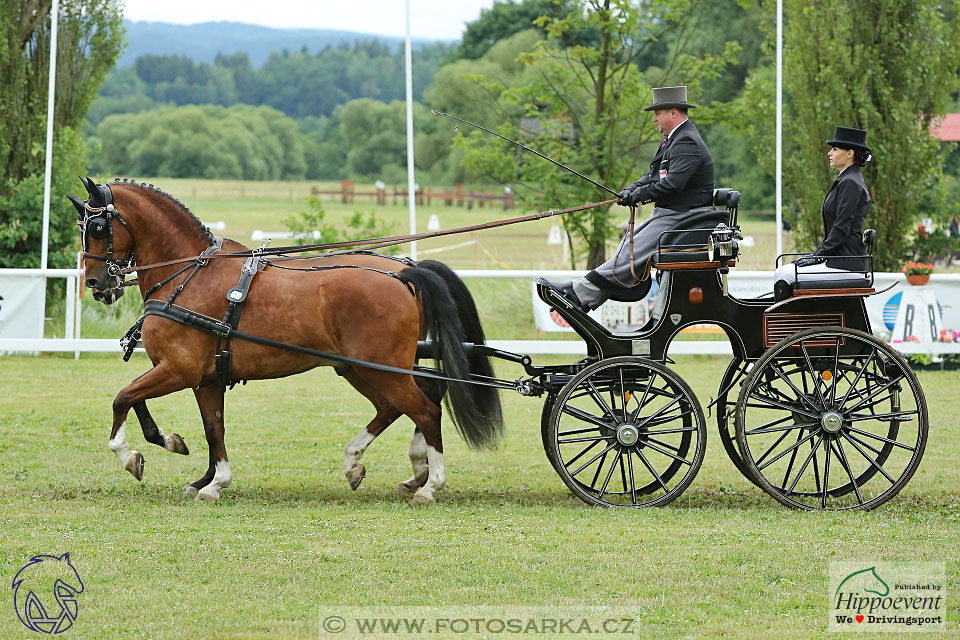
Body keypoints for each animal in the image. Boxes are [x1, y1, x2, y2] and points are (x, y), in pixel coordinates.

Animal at [69, 178, 502, 502]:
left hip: (382, 368)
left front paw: (132, 457)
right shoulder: (203, 378)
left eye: (98, 228)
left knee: (425, 409)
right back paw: (372, 464)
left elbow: (123, 398)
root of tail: (405, 273)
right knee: (407, 402)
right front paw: (205, 474)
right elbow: (210, 427)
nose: (96, 283)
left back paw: (429, 483)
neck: (189, 273)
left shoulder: (178, 369)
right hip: (363, 368)